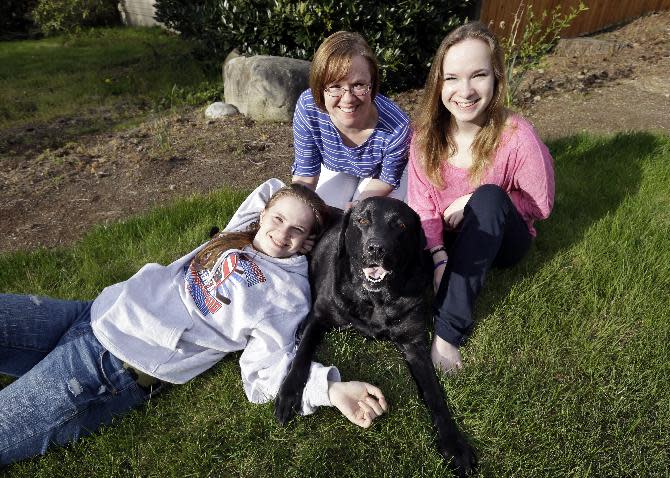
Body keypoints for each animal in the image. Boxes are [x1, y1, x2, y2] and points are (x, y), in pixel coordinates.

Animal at [276, 196, 478, 476]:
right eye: (362, 220)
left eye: (401, 225)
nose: (376, 248)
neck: (375, 300)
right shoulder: (317, 316)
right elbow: (302, 355)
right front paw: (288, 394)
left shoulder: (414, 343)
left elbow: (435, 394)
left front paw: (454, 444)